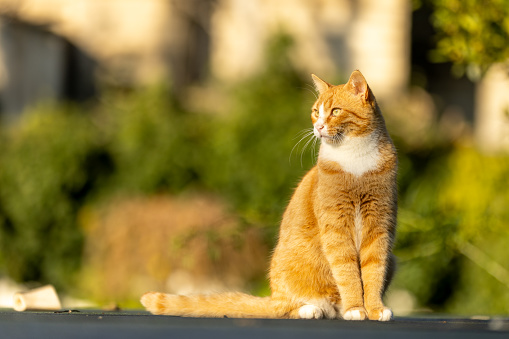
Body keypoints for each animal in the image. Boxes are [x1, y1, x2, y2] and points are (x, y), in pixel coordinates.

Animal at [140, 69, 396, 322]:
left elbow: (373, 272)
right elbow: (347, 272)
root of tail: (273, 296)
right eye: (316, 112)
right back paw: (312, 309)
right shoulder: (336, 230)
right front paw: (355, 308)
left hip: (393, 259)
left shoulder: (379, 226)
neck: (355, 160)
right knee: (285, 308)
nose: (319, 127)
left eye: (335, 111)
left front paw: (374, 309)